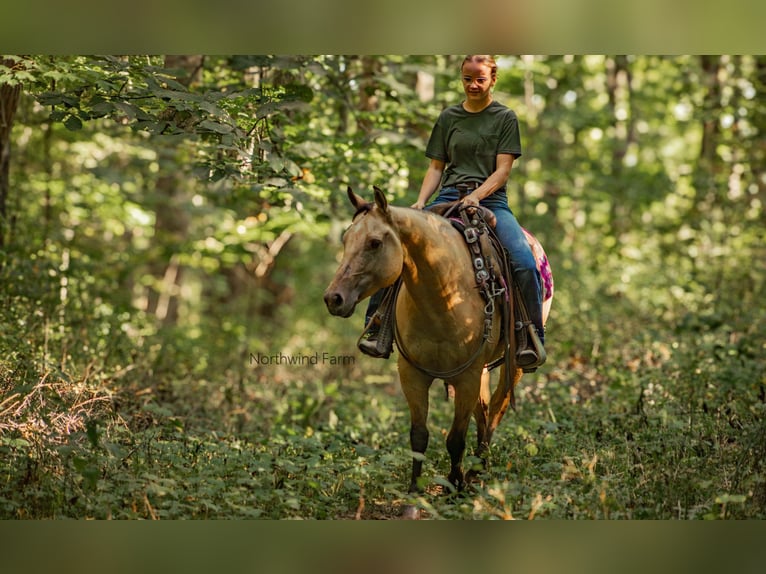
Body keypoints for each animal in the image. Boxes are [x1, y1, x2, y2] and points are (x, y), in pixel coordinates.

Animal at [324, 188, 552, 516]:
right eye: (345, 240)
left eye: (375, 242)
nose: (333, 298)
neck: (442, 295)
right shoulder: (412, 374)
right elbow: (419, 438)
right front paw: (413, 498)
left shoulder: (467, 377)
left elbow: (455, 439)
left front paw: (455, 489)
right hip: (480, 370)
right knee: (483, 412)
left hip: (513, 365)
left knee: (497, 408)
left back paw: (478, 471)